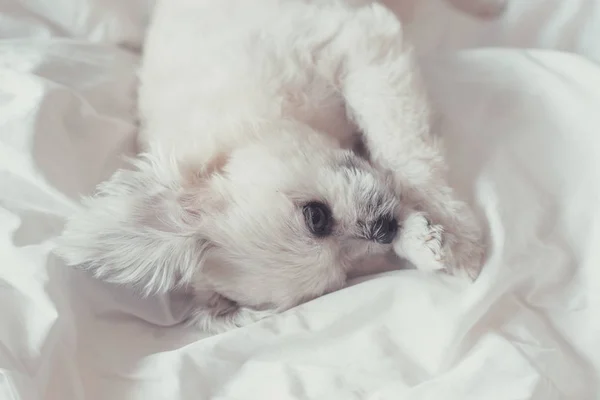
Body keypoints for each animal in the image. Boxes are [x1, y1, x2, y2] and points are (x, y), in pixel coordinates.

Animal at [57, 0, 502, 332]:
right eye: (346, 273)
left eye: (315, 217)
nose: (383, 229)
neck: (247, 121)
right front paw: (423, 243)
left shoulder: (359, 42)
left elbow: (402, 148)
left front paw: (455, 232)